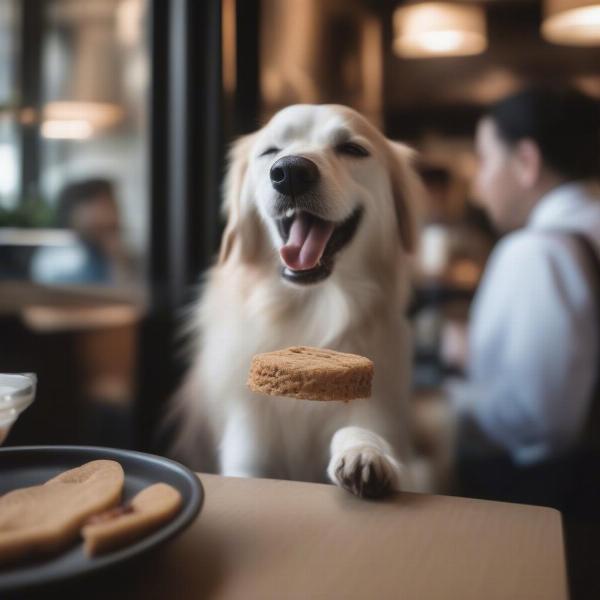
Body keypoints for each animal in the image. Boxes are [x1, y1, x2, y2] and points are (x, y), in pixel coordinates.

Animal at [169, 105, 422, 500]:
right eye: (271, 151)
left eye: (352, 149)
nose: (290, 172)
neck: (307, 312)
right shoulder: (247, 446)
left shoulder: (379, 412)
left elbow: (362, 433)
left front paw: (364, 454)